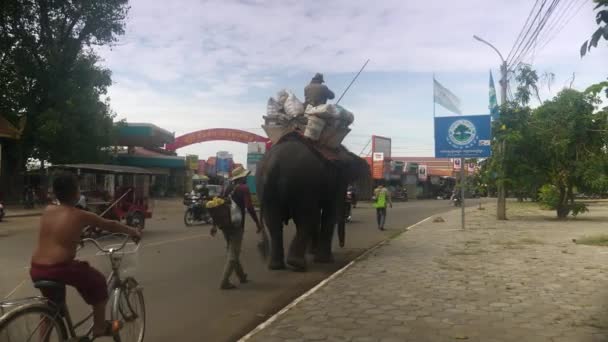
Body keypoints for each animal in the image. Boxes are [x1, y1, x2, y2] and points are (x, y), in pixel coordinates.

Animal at [255, 135, 368, 272]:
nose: (342, 245)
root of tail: (273, 163)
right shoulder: (335, 180)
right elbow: (330, 213)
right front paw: (325, 260)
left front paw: (313, 253)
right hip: (303, 183)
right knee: (306, 219)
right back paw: (297, 264)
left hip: (266, 188)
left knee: (274, 222)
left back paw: (276, 266)